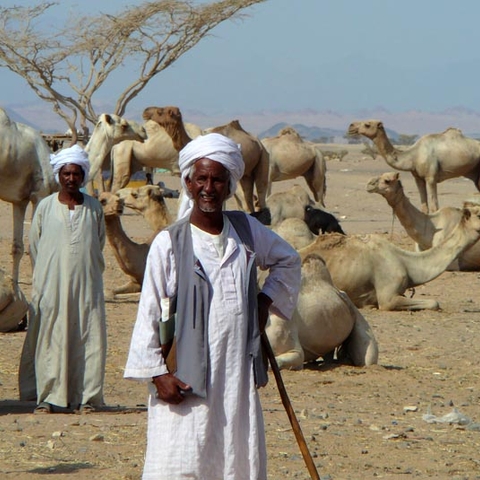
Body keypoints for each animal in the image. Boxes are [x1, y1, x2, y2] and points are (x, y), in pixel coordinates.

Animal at [346, 119, 480, 212]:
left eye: (367, 124)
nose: (351, 126)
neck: (414, 155)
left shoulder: (431, 178)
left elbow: (434, 207)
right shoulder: (418, 178)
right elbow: (424, 207)